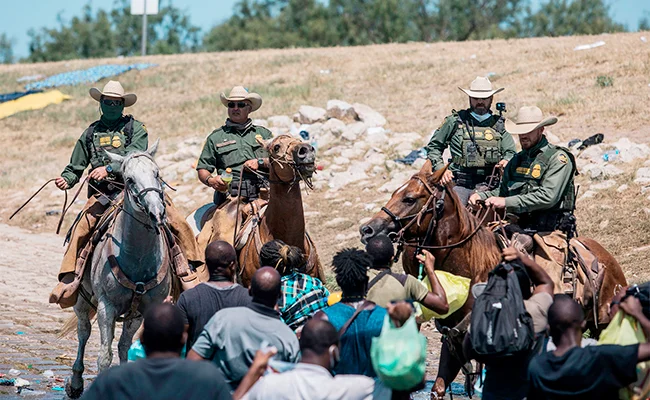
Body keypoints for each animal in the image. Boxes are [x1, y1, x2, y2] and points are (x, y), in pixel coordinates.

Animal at [66, 141, 172, 396]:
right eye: (129, 179)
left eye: (157, 173)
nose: (157, 212)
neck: (138, 258)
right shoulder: (107, 307)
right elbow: (104, 356)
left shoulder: (143, 310)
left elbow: (125, 346)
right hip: (82, 300)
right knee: (83, 331)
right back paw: (76, 382)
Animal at [356, 161, 624, 398]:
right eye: (395, 192)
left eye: (410, 198)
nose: (367, 230)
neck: (473, 270)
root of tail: (607, 259)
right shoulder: (452, 345)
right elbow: (439, 387)